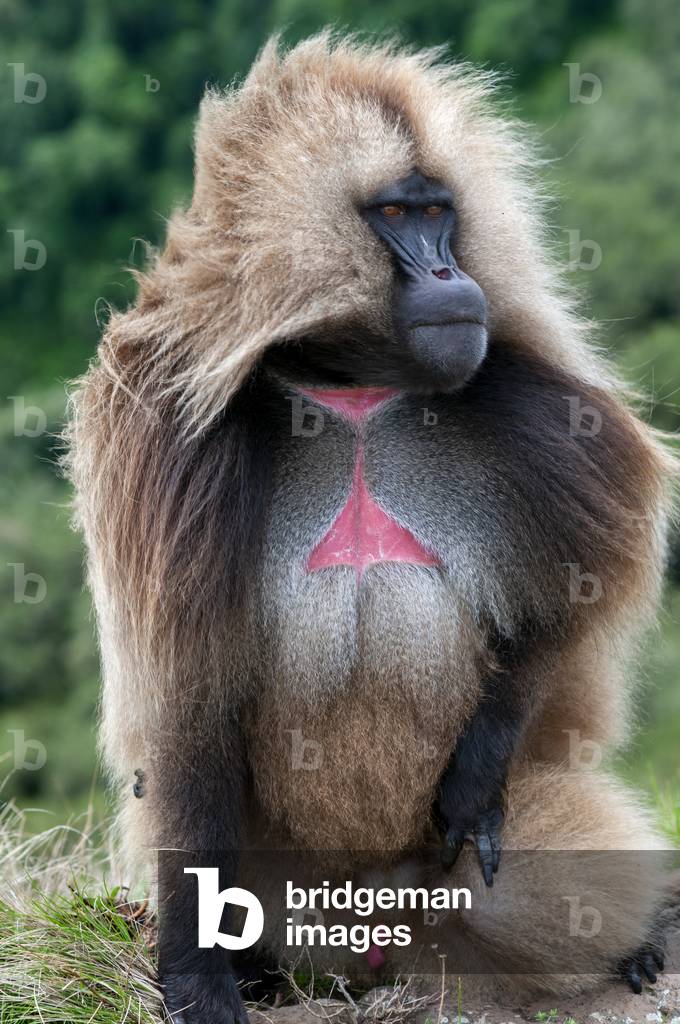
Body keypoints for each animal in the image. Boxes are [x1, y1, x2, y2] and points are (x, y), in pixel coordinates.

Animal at [66, 33, 676, 1024]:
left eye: (440, 214)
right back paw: (257, 968)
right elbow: (187, 693)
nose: (450, 274)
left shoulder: (523, 397)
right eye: (395, 214)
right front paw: (197, 978)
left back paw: (646, 933)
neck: (348, 382)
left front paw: (476, 776)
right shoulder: (167, 442)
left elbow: (570, 604)